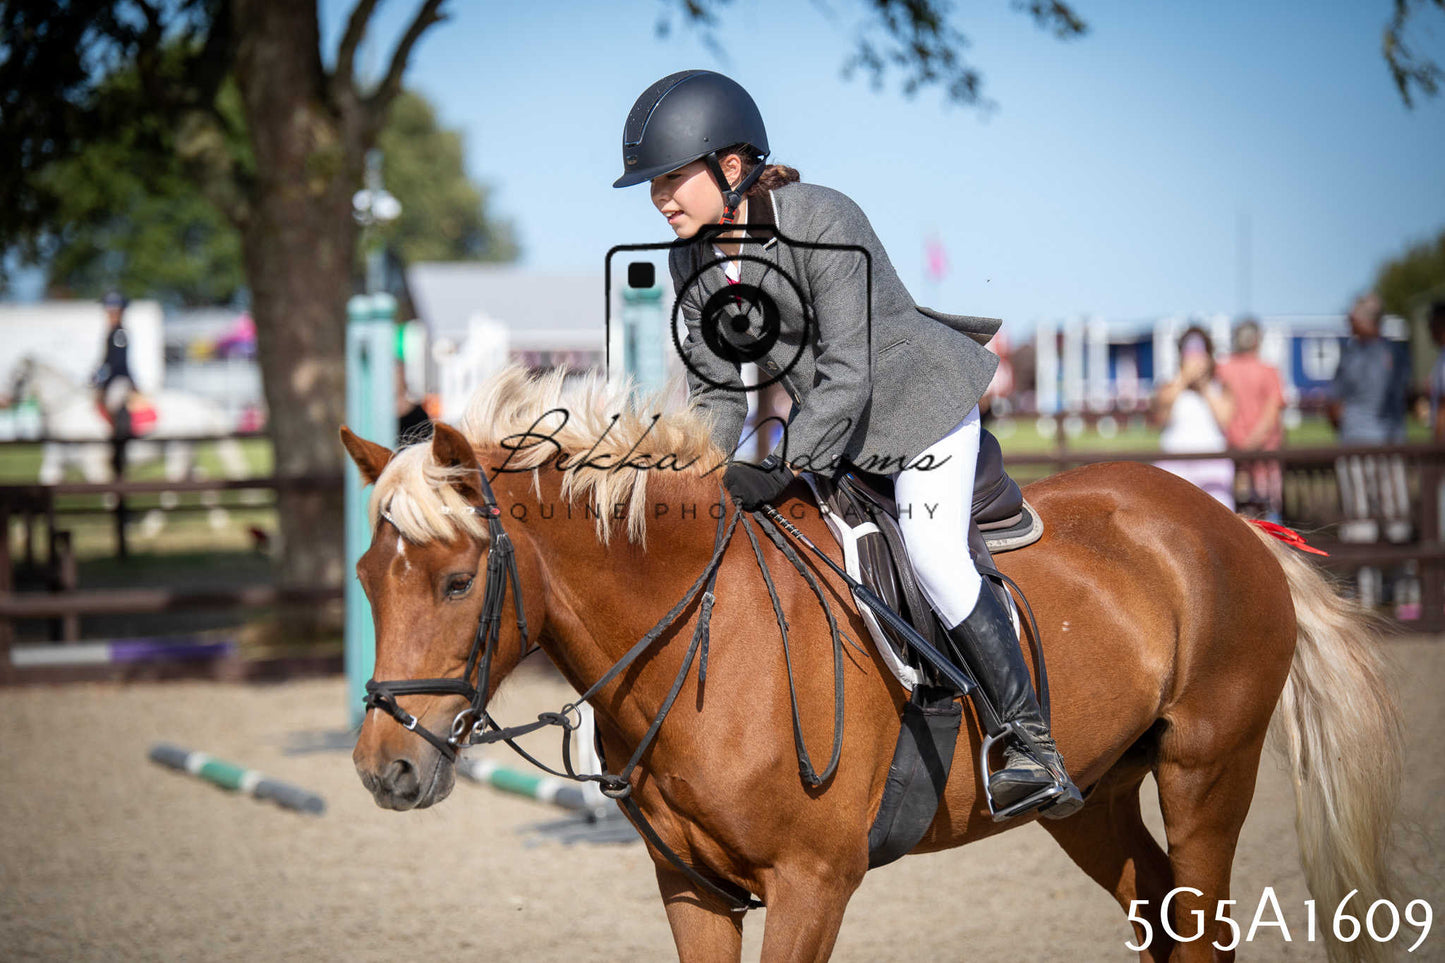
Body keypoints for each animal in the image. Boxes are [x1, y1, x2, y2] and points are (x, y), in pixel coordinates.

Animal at [7, 355, 248, 483]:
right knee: (199, 480)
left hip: (178, 451)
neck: (66, 412)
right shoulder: (54, 465)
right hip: (187, 452)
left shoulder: (94, 465)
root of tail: (199, 403)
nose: (4, 401)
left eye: (19, 379)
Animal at [345, 364, 1402, 963]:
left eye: (456, 581)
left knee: (1200, 925)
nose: (382, 770)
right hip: (1091, 796)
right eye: (365, 578)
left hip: (1205, 773)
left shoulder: (812, 882)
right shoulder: (694, 889)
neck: (702, 638)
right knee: (1153, 907)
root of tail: (1228, 522)